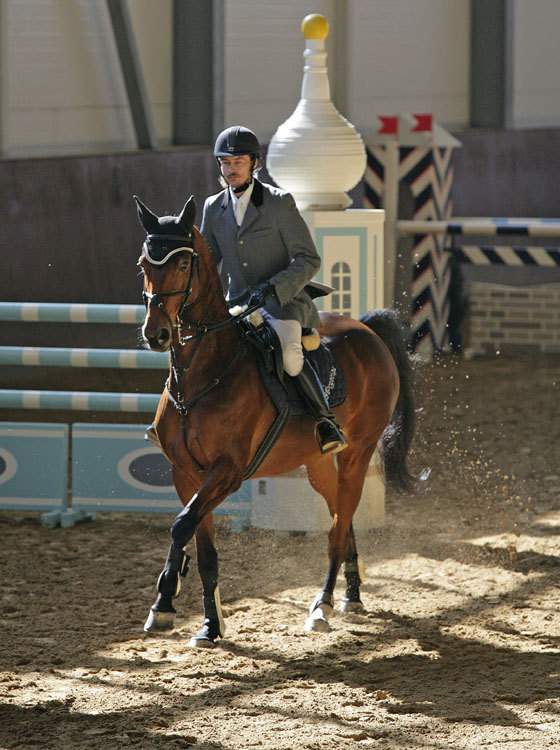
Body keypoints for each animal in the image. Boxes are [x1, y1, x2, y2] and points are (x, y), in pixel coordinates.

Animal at [135, 197, 416, 648]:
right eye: (144, 263)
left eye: (181, 263)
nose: (156, 334)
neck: (203, 372)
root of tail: (366, 327)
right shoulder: (187, 474)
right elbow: (201, 546)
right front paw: (206, 624)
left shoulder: (227, 472)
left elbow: (180, 526)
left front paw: (165, 603)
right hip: (317, 463)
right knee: (341, 517)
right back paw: (352, 594)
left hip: (358, 452)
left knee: (338, 529)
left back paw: (322, 605)